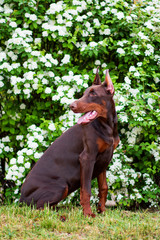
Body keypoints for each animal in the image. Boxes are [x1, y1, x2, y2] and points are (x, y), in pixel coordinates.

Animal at [19, 68, 119, 218]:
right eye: (84, 93)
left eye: (93, 94)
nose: (71, 106)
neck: (107, 126)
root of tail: (20, 200)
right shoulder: (87, 157)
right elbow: (86, 190)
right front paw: (88, 213)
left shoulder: (104, 159)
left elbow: (104, 187)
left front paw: (102, 210)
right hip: (60, 186)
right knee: (38, 208)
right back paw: (61, 216)